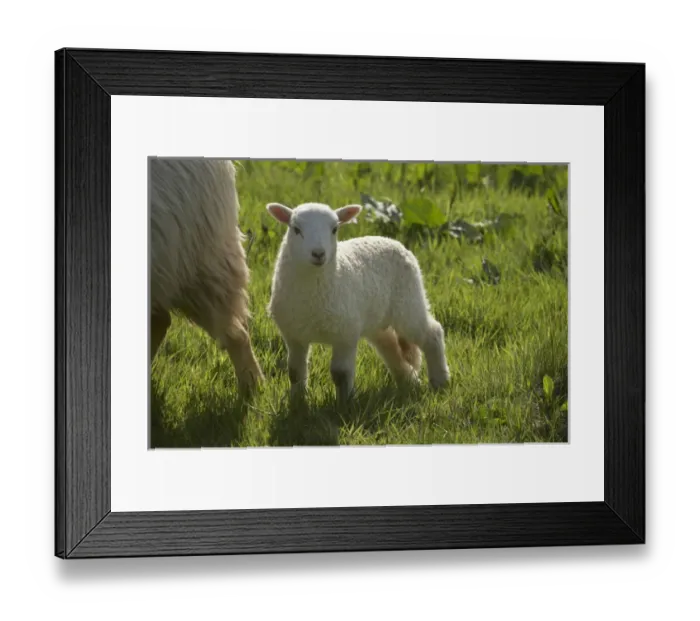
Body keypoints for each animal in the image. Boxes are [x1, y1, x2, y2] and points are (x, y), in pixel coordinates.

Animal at [265, 201, 450, 404]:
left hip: (409, 301)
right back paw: (408, 380)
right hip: (376, 320)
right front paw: (297, 402)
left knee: (432, 333)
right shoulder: (294, 336)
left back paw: (440, 381)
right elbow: (295, 372)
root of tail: (391, 240)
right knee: (389, 345)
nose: (318, 254)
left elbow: (340, 374)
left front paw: (344, 404)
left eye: (335, 229)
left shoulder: (345, 334)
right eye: (296, 229)